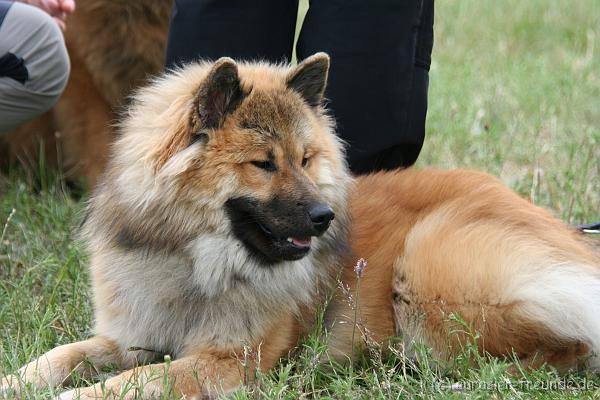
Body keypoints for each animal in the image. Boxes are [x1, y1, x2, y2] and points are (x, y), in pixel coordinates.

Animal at [1, 54, 600, 398]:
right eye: (264, 163)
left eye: (306, 159)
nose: (324, 217)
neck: (194, 261)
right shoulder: (130, 335)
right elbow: (60, 357)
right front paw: (17, 382)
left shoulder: (230, 361)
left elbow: (130, 384)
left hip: (426, 266)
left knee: (565, 350)